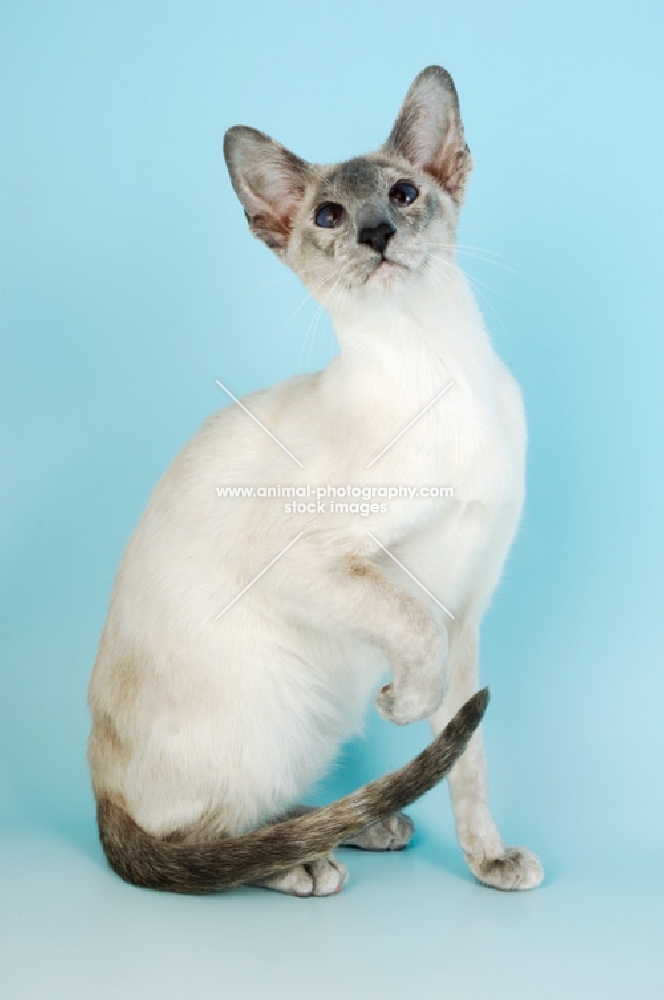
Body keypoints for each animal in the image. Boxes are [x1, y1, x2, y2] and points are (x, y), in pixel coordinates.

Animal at [88, 66, 544, 896]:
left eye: (402, 194)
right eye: (329, 215)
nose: (376, 234)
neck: (440, 367)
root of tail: (99, 798)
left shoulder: (465, 611)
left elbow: (470, 761)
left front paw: (488, 859)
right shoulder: (312, 564)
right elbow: (414, 636)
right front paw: (402, 701)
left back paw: (366, 825)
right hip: (283, 710)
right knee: (206, 841)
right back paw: (305, 858)